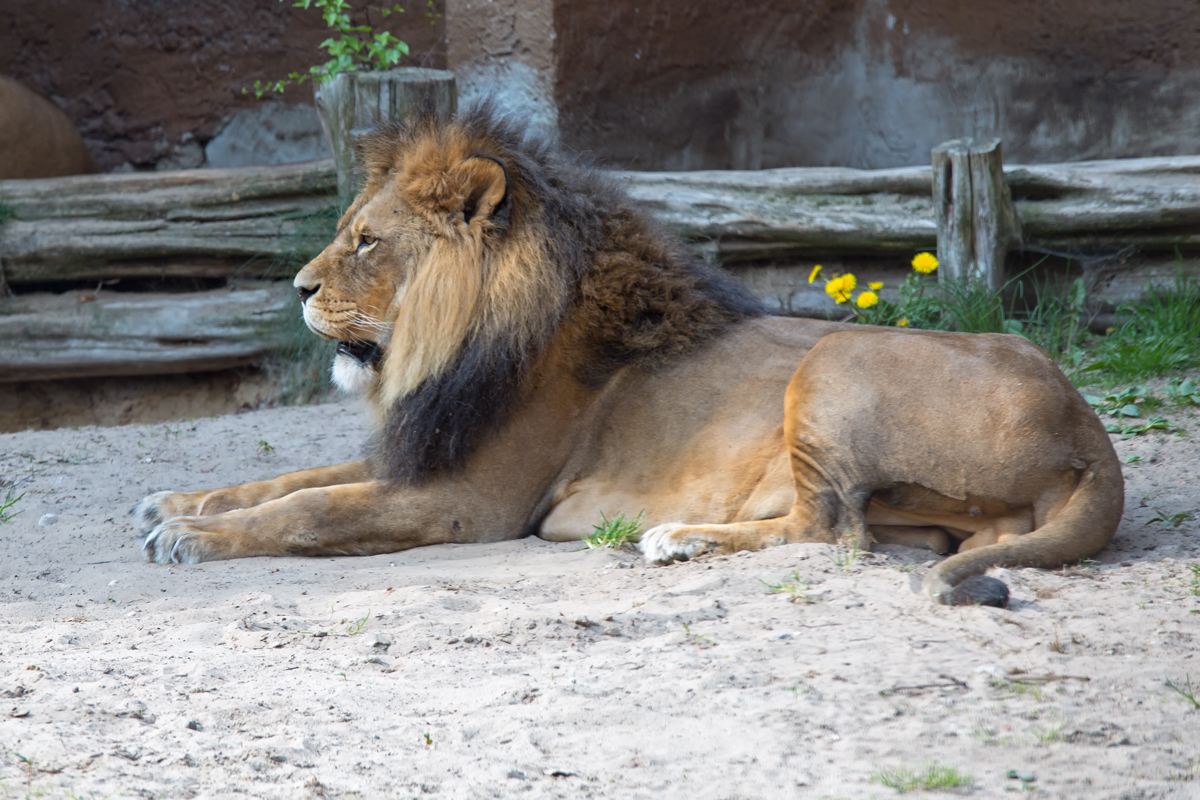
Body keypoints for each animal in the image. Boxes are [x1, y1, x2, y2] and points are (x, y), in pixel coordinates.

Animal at [136, 103, 1128, 604]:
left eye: (368, 242)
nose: (299, 289)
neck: (460, 344)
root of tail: (1091, 435)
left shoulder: (467, 501)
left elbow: (310, 510)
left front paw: (190, 536)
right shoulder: (421, 448)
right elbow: (288, 478)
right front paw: (173, 501)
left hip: (836, 360)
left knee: (831, 532)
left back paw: (678, 537)